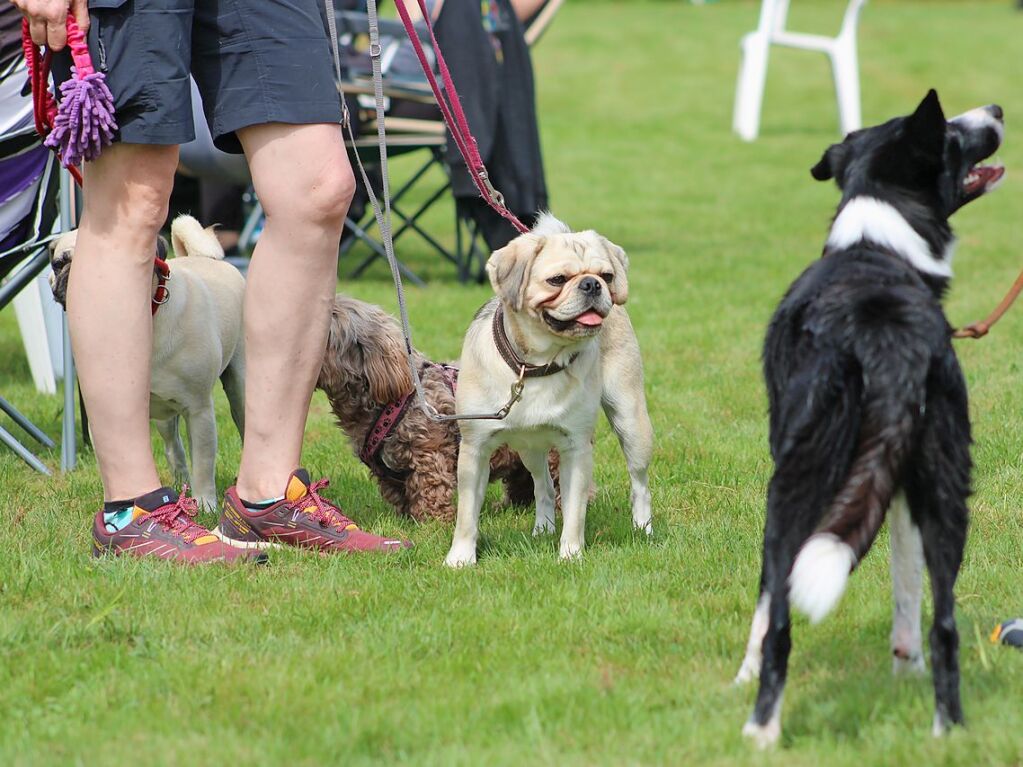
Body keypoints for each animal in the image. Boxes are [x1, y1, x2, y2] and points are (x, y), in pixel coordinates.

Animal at [49, 214, 245, 511]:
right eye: (58, 264)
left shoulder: (199, 411)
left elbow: (203, 463)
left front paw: (205, 504)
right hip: (165, 416)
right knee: (174, 448)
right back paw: (180, 484)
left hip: (239, 390)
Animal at [321, 294, 556, 523]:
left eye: (330, 325)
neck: (398, 399)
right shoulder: (388, 475)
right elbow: (398, 495)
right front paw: (406, 520)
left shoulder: (429, 456)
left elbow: (431, 490)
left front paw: (432, 523)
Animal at [448, 213, 654, 568]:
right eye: (557, 280)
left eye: (607, 276)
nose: (593, 284)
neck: (537, 365)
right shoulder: (475, 449)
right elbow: (467, 516)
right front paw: (461, 558)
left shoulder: (576, 449)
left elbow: (574, 512)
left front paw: (570, 554)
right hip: (528, 447)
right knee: (542, 485)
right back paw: (543, 527)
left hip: (631, 423)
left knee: (639, 483)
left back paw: (643, 528)